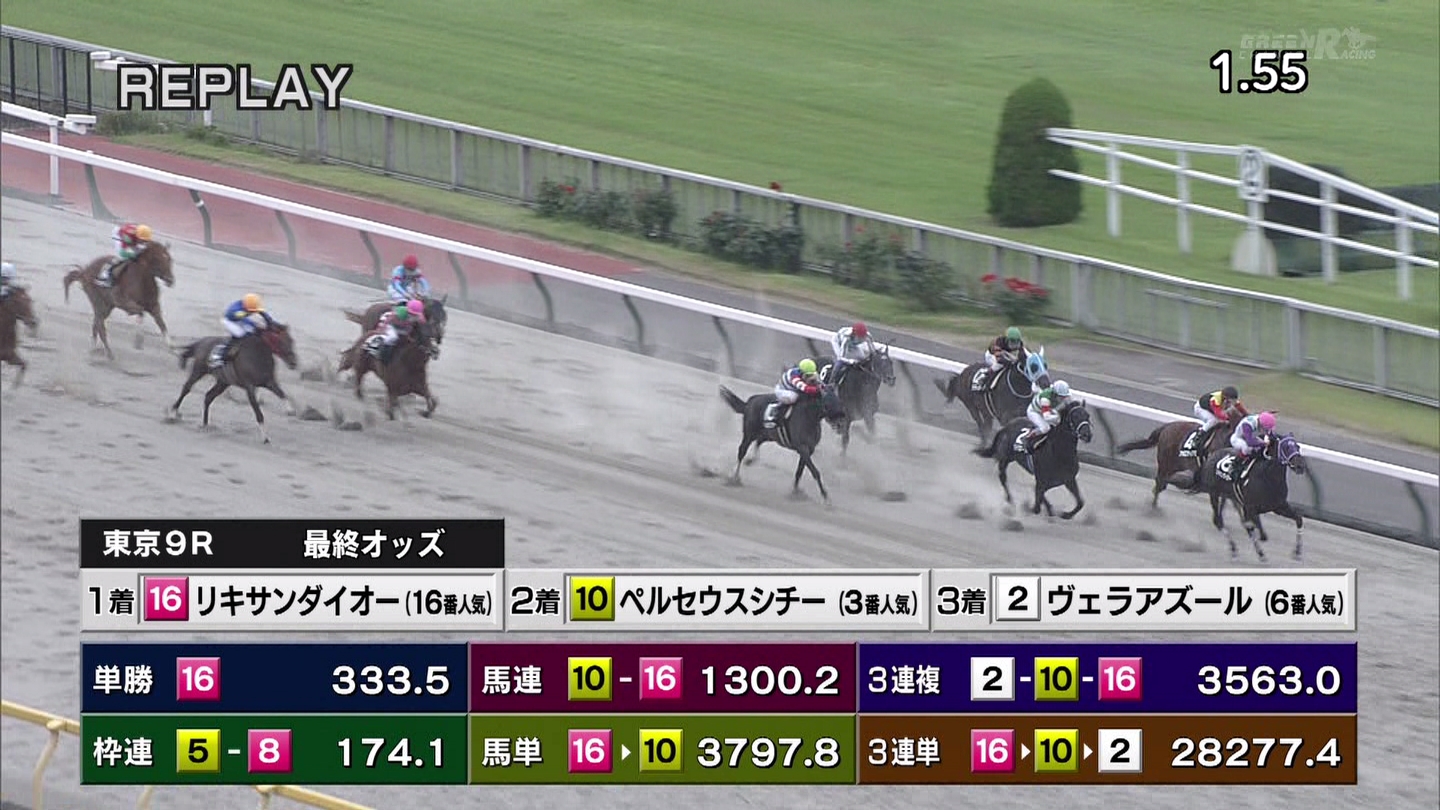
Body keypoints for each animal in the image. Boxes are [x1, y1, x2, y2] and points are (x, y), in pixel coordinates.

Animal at [169, 324, 298, 444]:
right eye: (281, 341)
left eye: (291, 340)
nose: (294, 363)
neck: (258, 353)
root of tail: (201, 342)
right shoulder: (250, 387)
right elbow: (259, 413)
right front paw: (265, 438)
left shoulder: (268, 382)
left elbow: (282, 394)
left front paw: (290, 410)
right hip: (199, 370)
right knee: (186, 388)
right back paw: (172, 413)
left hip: (223, 382)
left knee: (208, 396)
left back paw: (206, 424)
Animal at [718, 383, 847, 502]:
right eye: (827, 402)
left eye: (839, 400)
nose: (841, 424)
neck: (809, 416)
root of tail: (749, 402)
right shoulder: (802, 448)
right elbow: (815, 472)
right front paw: (825, 497)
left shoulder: (809, 450)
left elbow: (799, 472)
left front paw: (795, 491)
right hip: (749, 433)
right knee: (742, 451)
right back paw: (734, 477)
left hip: (767, 434)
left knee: (759, 442)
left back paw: (750, 460)